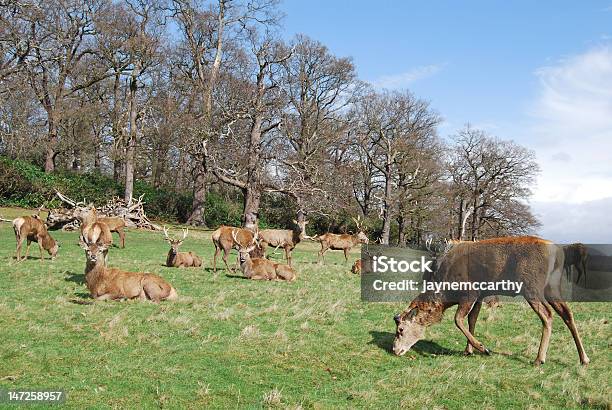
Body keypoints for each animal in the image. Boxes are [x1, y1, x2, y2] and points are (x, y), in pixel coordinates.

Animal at [394, 235, 592, 366]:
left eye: (401, 329)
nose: (395, 350)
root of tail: (559, 252)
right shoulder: (480, 295)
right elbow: (472, 319)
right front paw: (468, 350)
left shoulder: (470, 292)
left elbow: (458, 319)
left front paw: (483, 348)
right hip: (553, 285)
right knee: (567, 313)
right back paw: (584, 358)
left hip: (531, 285)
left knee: (548, 315)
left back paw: (539, 358)